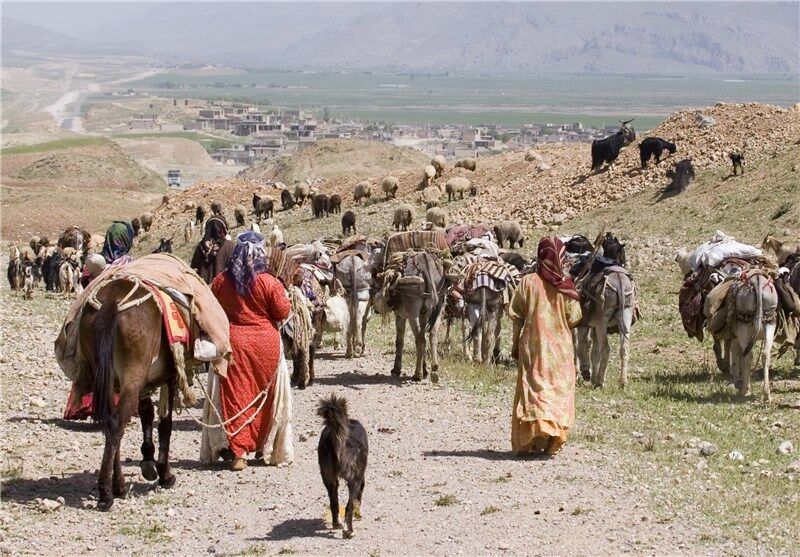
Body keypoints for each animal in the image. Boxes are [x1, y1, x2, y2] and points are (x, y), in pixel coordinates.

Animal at [318, 394, 370, 536]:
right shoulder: (360, 478)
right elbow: (357, 500)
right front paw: (359, 513)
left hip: (329, 479)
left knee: (334, 503)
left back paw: (337, 524)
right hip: (354, 479)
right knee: (348, 506)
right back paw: (349, 531)